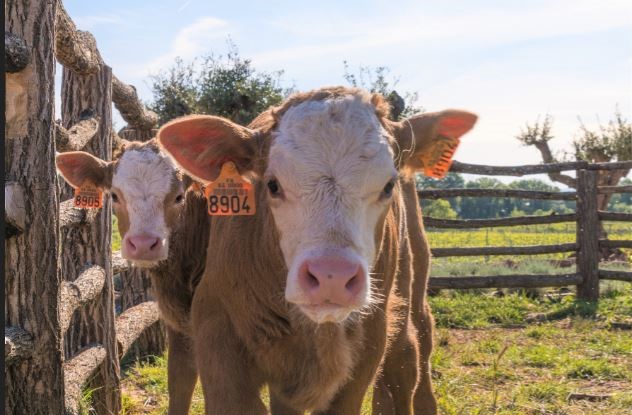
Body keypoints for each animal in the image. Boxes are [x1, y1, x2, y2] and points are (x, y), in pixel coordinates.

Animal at [159, 86, 478, 414]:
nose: (331, 277)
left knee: (409, 354)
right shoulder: (216, 330)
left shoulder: (367, 347)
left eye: (388, 185)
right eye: (272, 184)